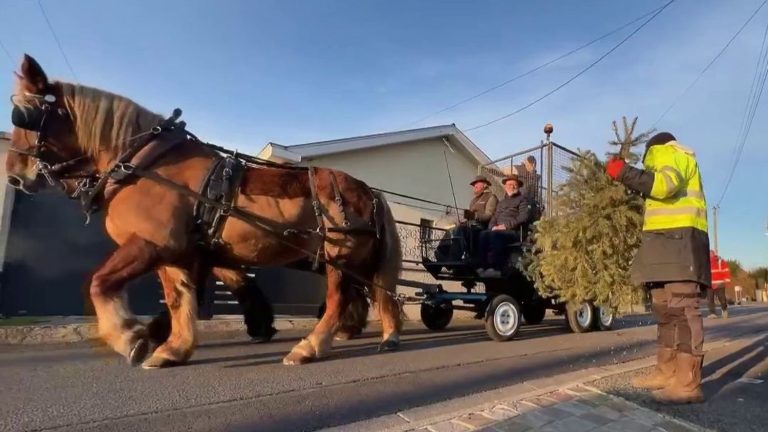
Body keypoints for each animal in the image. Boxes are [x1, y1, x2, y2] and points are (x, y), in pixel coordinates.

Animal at [6, 54, 404, 368]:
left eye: (23, 115)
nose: (13, 174)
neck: (143, 163)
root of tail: (367, 190)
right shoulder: (179, 254)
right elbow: (181, 299)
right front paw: (172, 348)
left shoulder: (150, 244)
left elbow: (101, 283)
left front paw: (130, 336)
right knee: (373, 292)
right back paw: (383, 334)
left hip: (339, 255)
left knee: (341, 298)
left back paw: (310, 346)